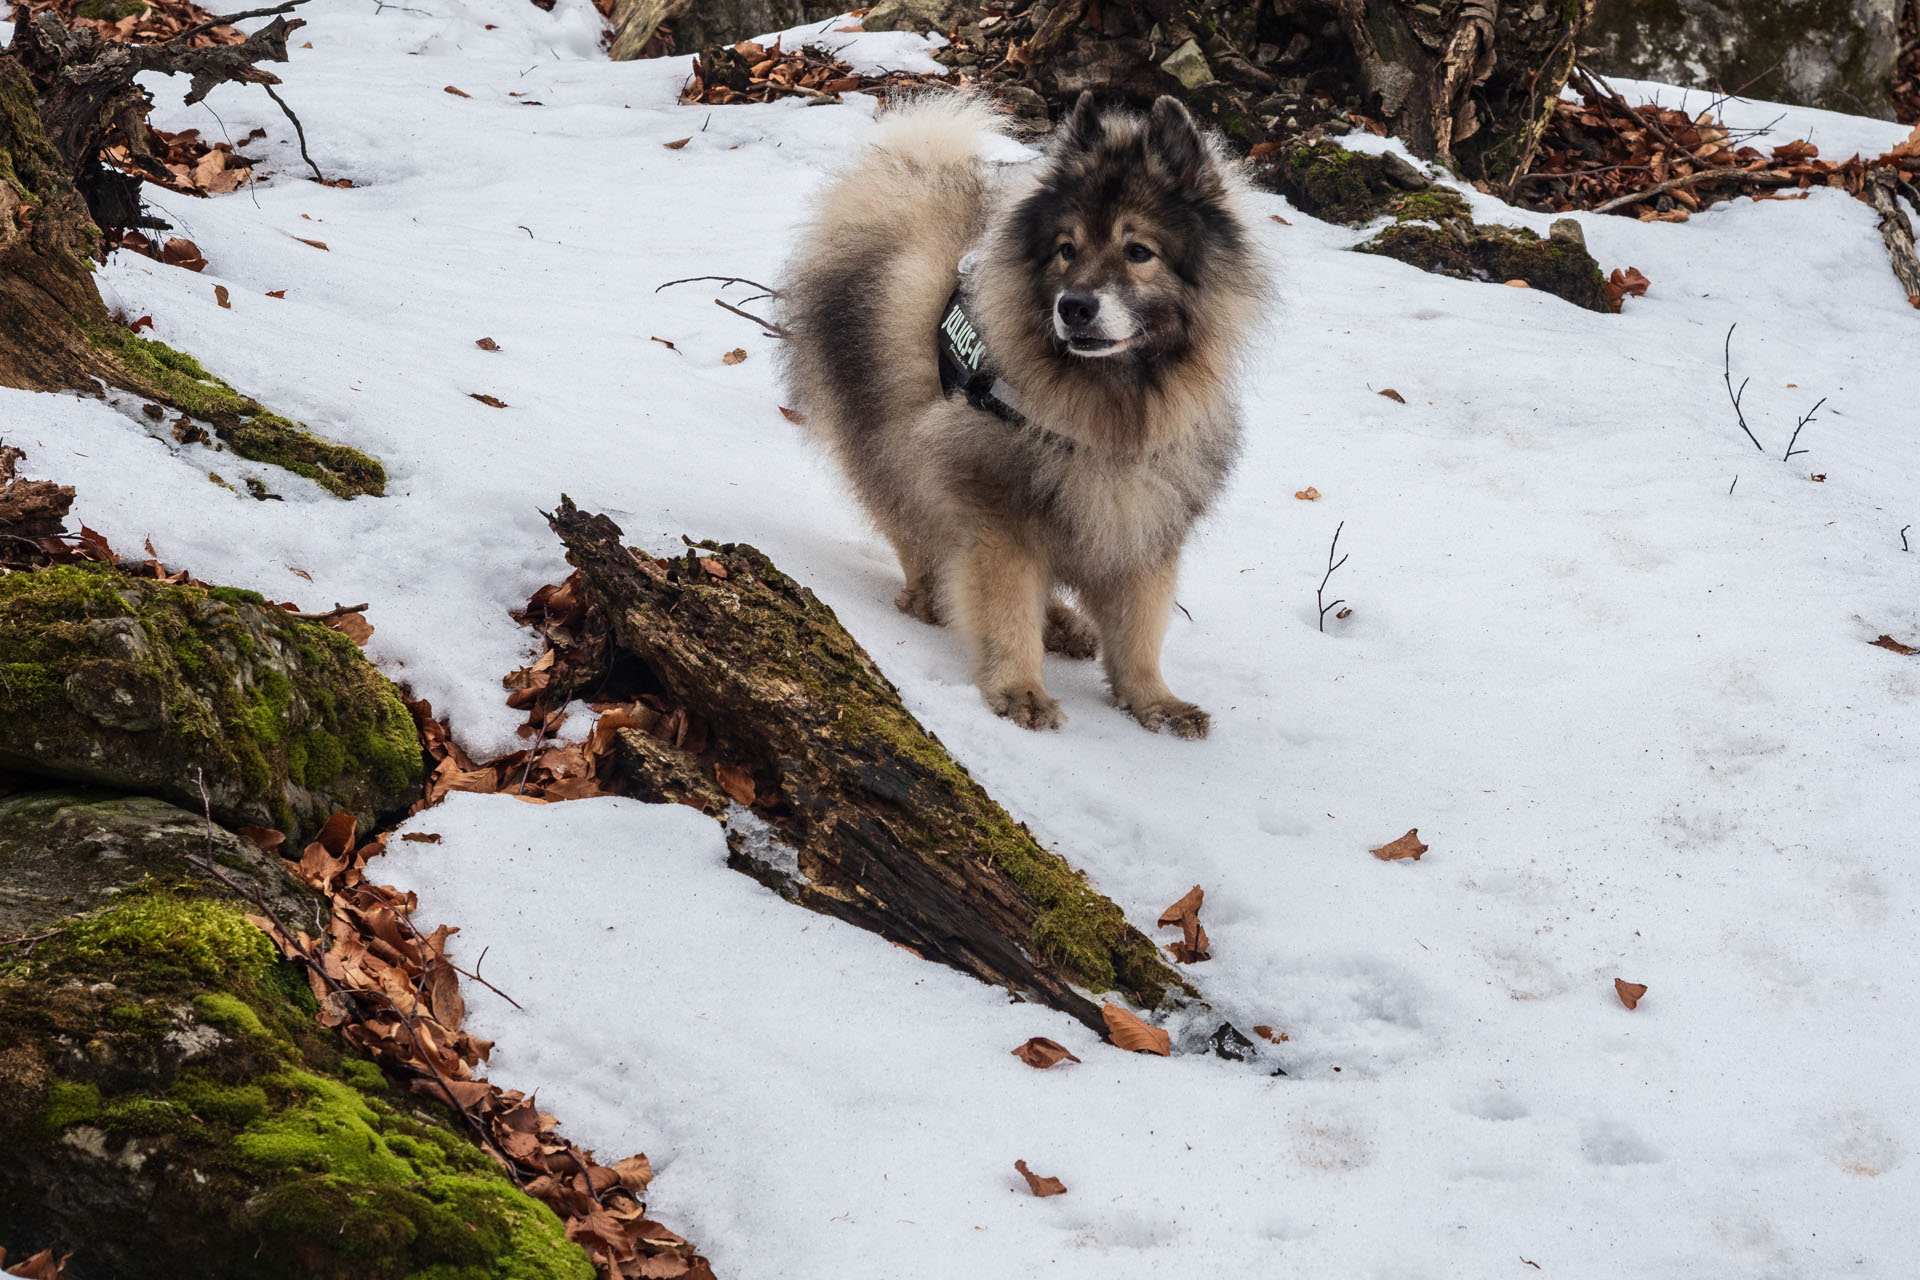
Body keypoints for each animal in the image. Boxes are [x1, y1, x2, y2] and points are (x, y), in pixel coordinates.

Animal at [771, 92, 1267, 740]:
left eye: (1138, 251)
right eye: (1067, 249)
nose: (1074, 306)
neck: (1107, 404)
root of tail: (891, 193)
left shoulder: (1141, 520)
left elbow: (1139, 629)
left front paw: (1154, 700)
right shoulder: (999, 511)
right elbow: (1005, 608)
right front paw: (1018, 689)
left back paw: (1060, 622)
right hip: (892, 439)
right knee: (913, 525)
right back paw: (935, 596)